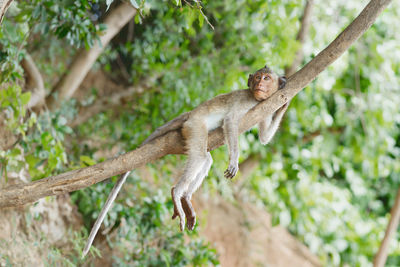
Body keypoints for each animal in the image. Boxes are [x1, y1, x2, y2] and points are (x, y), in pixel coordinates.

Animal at [82, 65, 288, 258]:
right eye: (258, 77)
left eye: (267, 78)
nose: (260, 84)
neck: (255, 97)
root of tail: (190, 113)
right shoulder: (246, 101)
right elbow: (230, 122)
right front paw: (234, 160)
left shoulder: (265, 107)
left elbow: (264, 137)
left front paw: (284, 103)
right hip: (195, 126)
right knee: (201, 157)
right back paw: (177, 192)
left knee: (206, 160)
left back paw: (186, 198)